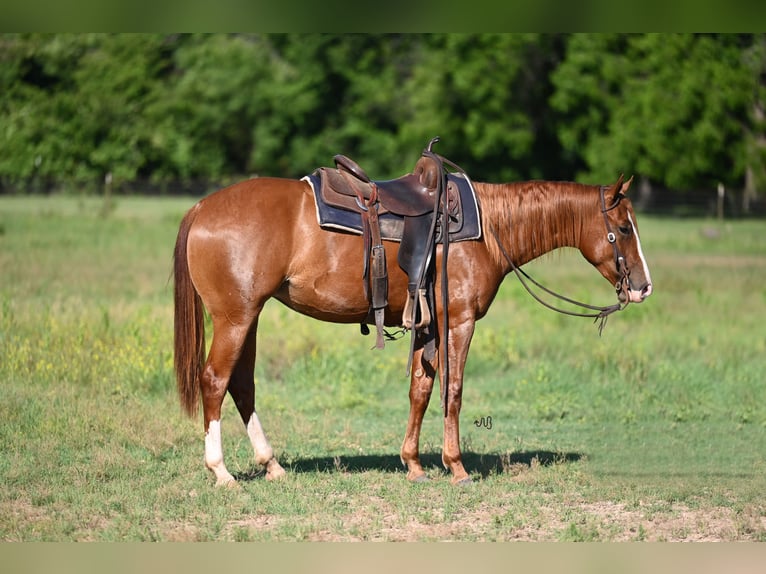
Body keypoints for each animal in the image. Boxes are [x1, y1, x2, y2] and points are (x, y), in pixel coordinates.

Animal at [172, 170, 656, 486]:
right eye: (623, 228)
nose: (643, 287)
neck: (489, 230)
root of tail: (202, 206)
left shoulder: (431, 325)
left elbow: (420, 389)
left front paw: (415, 463)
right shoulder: (459, 321)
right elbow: (453, 390)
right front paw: (456, 466)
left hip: (249, 318)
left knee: (242, 386)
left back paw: (271, 465)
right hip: (235, 319)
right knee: (214, 381)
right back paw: (221, 471)